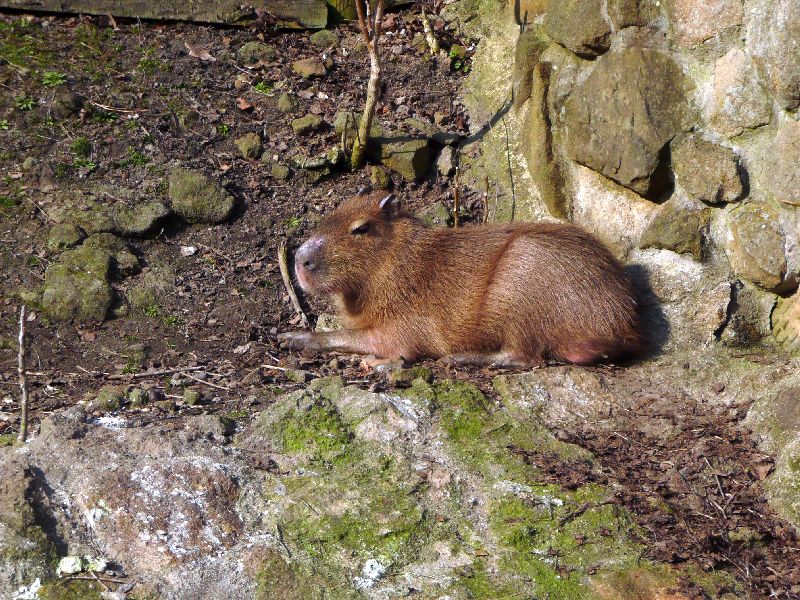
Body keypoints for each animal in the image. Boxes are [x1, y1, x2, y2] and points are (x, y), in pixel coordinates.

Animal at [279, 190, 642, 367]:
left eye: (361, 228)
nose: (300, 260)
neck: (398, 261)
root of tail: (624, 328)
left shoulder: (401, 328)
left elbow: (357, 339)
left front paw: (294, 338)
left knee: (525, 358)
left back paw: (462, 358)